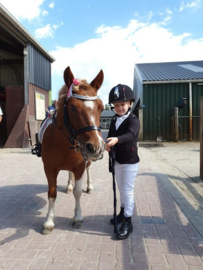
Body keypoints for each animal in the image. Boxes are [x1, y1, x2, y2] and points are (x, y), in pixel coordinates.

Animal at [41, 66, 104, 234]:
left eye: (101, 108)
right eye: (72, 108)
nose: (96, 147)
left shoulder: (80, 166)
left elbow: (78, 191)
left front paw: (78, 218)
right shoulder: (49, 168)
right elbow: (52, 193)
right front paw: (48, 222)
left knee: (88, 171)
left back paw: (89, 187)